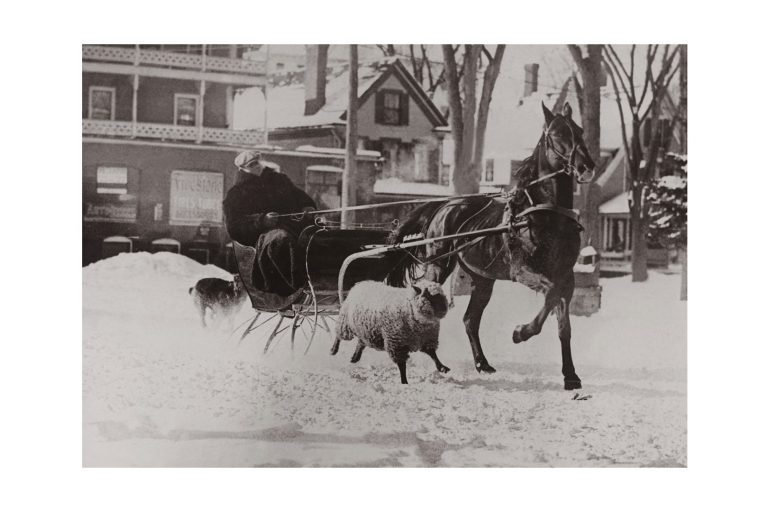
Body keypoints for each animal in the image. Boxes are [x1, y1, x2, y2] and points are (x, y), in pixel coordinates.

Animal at [388, 103, 596, 392]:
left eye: (579, 130)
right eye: (557, 134)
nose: (586, 166)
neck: (546, 212)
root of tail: (445, 205)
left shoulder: (566, 275)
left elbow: (563, 324)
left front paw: (571, 376)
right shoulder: (524, 270)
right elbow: (550, 296)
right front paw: (521, 332)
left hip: (482, 279)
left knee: (470, 319)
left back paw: (482, 363)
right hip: (438, 266)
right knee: (425, 305)